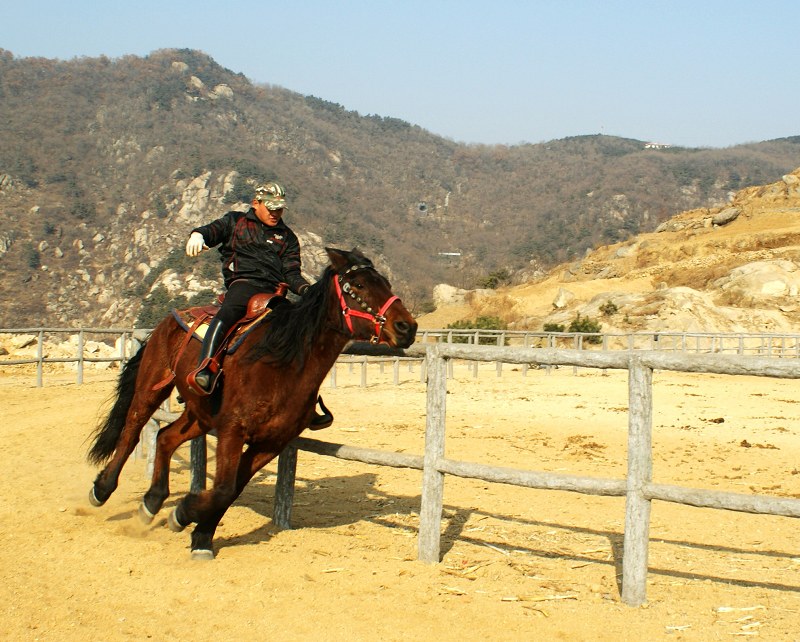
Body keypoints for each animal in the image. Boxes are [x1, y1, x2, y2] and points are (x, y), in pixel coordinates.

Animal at [88, 248, 418, 556]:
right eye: (359, 285)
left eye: (386, 283)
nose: (407, 327)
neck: (280, 362)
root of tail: (170, 318)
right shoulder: (233, 431)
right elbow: (223, 487)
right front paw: (184, 515)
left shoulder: (271, 442)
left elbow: (231, 489)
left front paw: (198, 533)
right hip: (151, 388)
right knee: (132, 428)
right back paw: (102, 489)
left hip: (200, 415)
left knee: (165, 437)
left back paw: (152, 501)